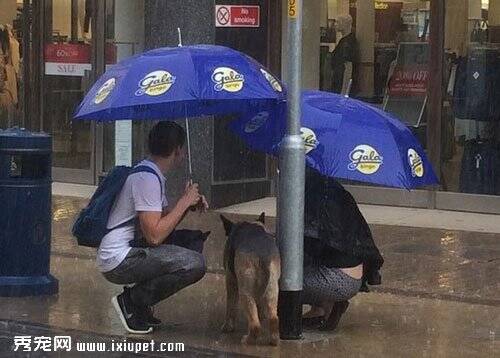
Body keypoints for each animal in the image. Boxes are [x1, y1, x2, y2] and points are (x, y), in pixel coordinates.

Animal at [220, 214, 282, 346]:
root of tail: (262, 256)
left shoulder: (230, 280)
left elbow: (231, 306)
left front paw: (228, 327)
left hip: (245, 293)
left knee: (255, 325)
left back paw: (248, 340)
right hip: (272, 290)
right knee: (273, 318)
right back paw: (274, 340)